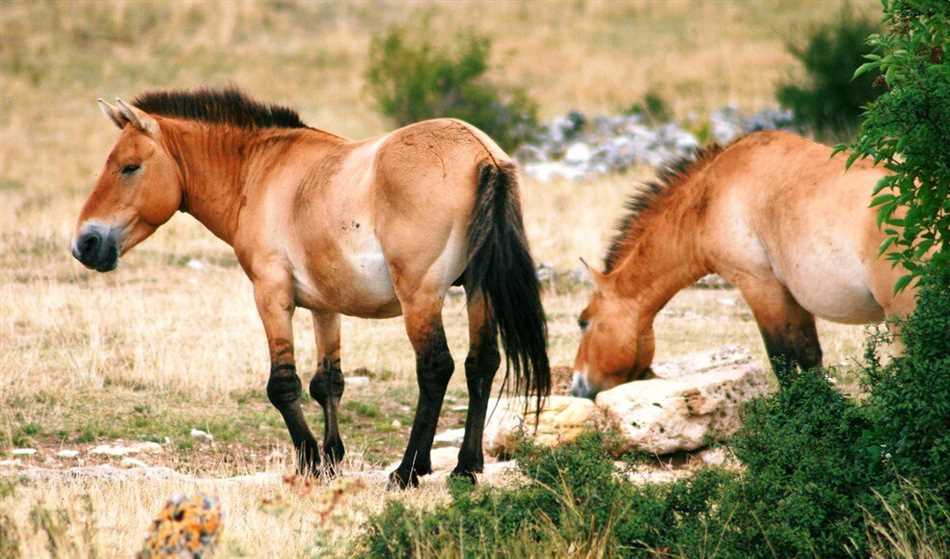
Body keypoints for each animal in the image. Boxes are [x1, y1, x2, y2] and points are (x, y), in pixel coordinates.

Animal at [72, 88, 552, 490]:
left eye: (130, 167)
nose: (85, 243)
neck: (259, 172)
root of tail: (481, 154)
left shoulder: (271, 295)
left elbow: (283, 385)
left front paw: (310, 463)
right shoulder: (326, 306)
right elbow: (328, 383)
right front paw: (333, 459)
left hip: (421, 297)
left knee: (436, 369)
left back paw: (408, 470)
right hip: (477, 292)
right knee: (480, 364)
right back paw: (466, 468)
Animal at [568, 130, 920, 398]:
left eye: (584, 321)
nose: (577, 388)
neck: (710, 196)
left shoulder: (760, 286)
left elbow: (784, 360)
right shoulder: (790, 297)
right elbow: (810, 359)